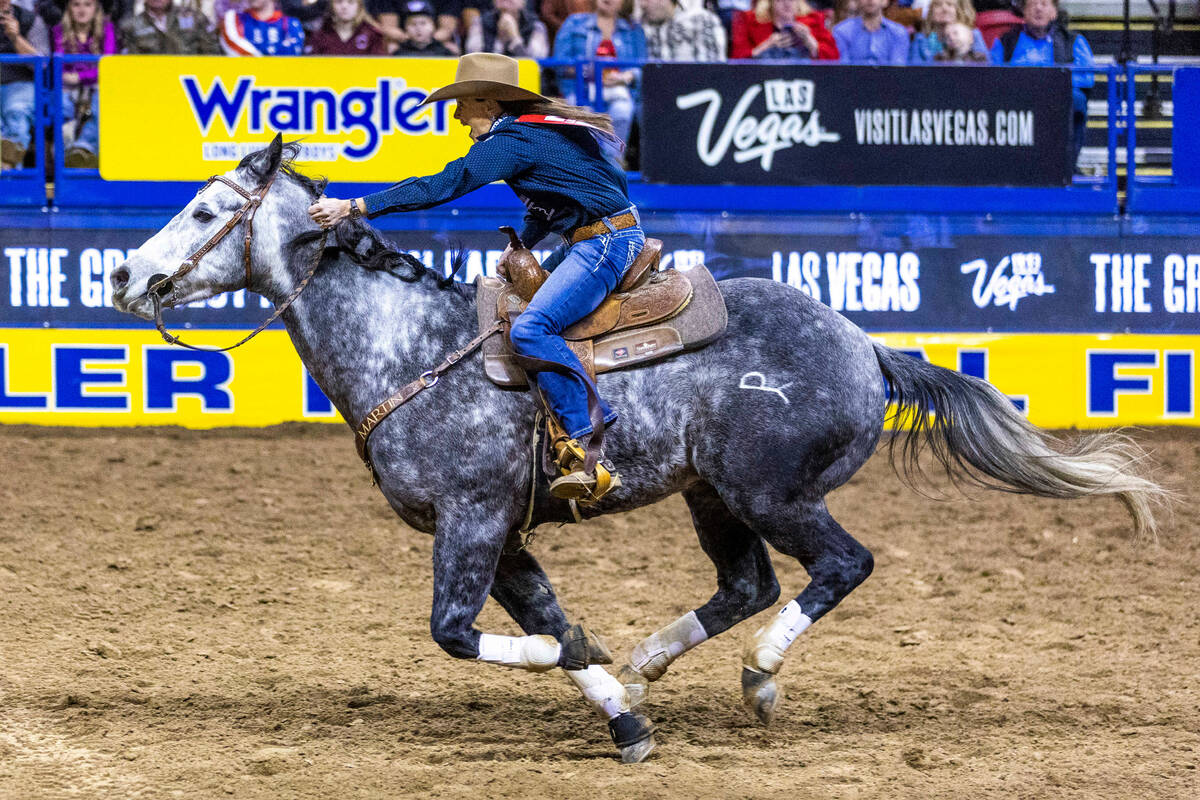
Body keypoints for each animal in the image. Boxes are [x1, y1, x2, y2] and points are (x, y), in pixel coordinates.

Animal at [110, 137, 1161, 762]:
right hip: (711, 496)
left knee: (840, 566)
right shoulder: (504, 534)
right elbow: (545, 623)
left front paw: (587, 660)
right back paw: (658, 658)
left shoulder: (472, 520)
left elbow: (463, 633)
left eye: (203, 211)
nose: (123, 276)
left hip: (774, 492)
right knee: (749, 584)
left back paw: (761, 678)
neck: (408, 347)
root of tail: (868, 346)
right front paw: (622, 711)